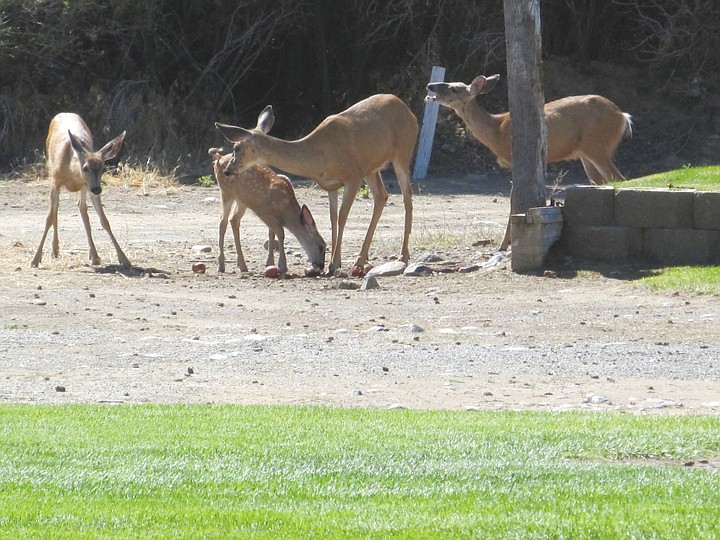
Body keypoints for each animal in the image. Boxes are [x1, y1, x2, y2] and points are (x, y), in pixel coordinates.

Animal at [31, 112, 129, 268]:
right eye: (85, 168)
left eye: (102, 167)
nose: (97, 189)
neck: (72, 172)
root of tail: (64, 113)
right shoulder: (55, 181)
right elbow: (49, 218)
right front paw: (35, 259)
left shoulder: (87, 186)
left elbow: (104, 220)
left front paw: (124, 259)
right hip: (50, 168)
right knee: (56, 210)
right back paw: (55, 249)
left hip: (85, 188)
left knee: (82, 209)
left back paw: (93, 255)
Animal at [208, 148, 326, 276]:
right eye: (321, 246)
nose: (321, 266)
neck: (286, 211)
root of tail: (219, 158)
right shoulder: (263, 211)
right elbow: (280, 233)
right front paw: (282, 266)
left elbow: (271, 234)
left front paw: (270, 263)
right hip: (226, 191)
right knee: (223, 221)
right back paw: (221, 265)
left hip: (242, 200)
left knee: (234, 220)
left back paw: (242, 265)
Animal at [424, 74, 632, 185]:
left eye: (454, 88)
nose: (430, 85)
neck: (497, 132)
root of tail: (623, 116)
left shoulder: (516, 158)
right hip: (585, 153)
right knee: (605, 181)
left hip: (597, 144)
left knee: (619, 178)